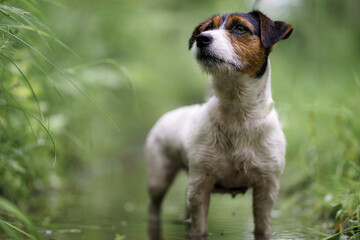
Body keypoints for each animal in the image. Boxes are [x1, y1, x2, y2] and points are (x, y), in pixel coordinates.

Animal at [146, 10, 292, 239]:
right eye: (206, 28)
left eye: (240, 28)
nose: (202, 38)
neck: (238, 115)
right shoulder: (201, 184)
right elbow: (199, 230)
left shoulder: (267, 187)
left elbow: (262, 228)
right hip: (159, 178)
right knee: (154, 208)